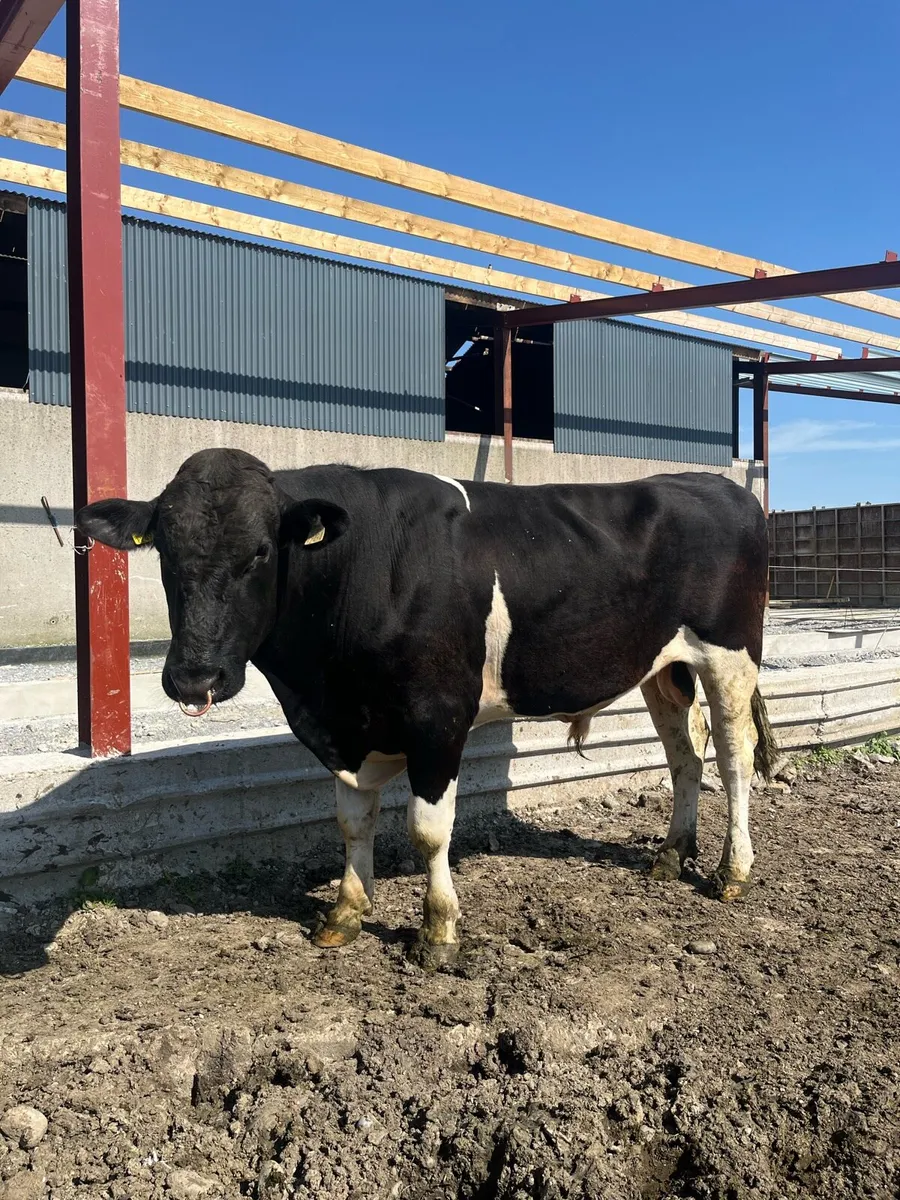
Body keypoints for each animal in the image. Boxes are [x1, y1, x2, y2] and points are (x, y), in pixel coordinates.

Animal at [76, 449, 776, 968]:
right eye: (163, 550)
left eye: (260, 552)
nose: (194, 677)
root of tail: (717, 484)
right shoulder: (347, 729)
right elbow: (352, 822)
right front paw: (344, 914)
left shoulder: (438, 717)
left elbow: (427, 829)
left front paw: (438, 933)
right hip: (663, 668)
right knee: (686, 757)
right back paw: (671, 856)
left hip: (730, 655)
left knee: (735, 759)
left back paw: (732, 870)